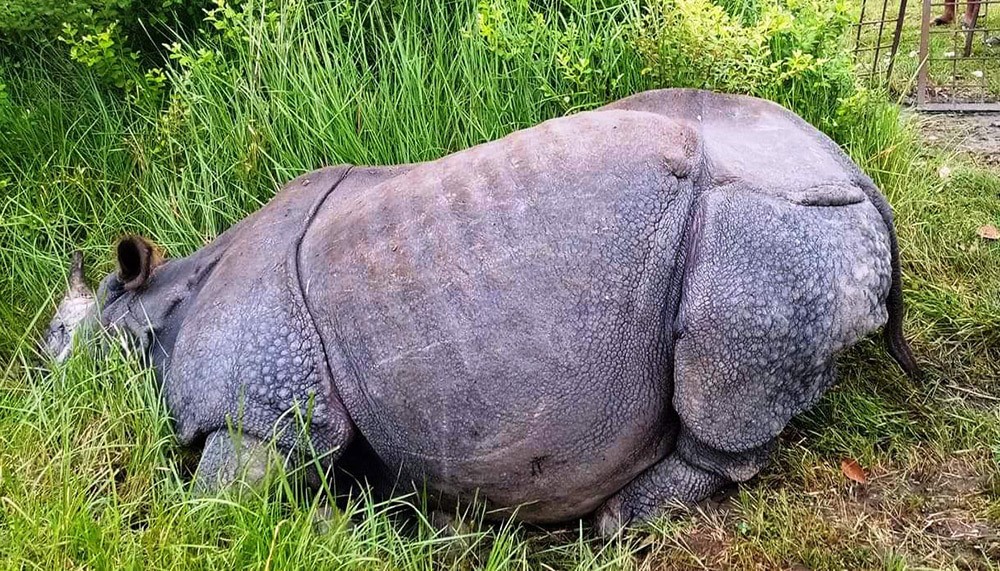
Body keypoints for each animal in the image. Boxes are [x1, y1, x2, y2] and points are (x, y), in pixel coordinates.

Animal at [45, 89, 919, 534]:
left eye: (58, 337)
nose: (35, 381)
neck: (160, 307)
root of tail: (859, 174)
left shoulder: (260, 406)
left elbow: (210, 506)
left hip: (759, 231)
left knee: (720, 393)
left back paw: (616, 523)